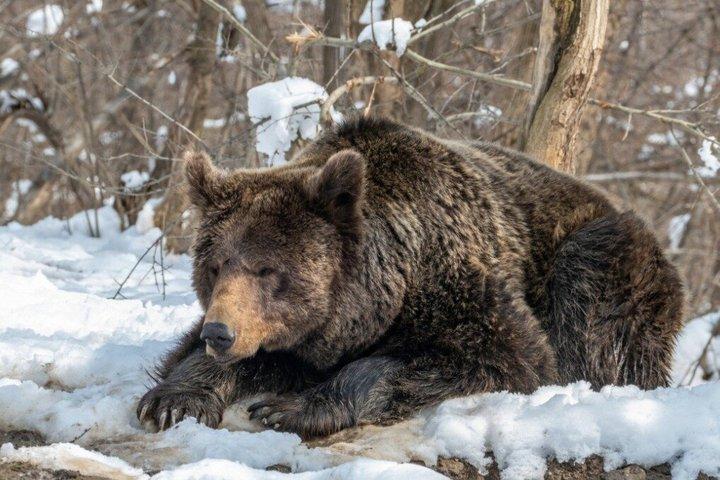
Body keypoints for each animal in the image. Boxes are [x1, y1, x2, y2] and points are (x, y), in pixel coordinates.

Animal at [137, 116, 684, 438]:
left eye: (268, 268)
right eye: (214, 266)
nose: (220, 332)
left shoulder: (460, 284)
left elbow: (504, 355)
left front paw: (288, 408)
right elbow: (208, 356)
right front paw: (173, 401)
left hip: (606, 254)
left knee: (594, 317)